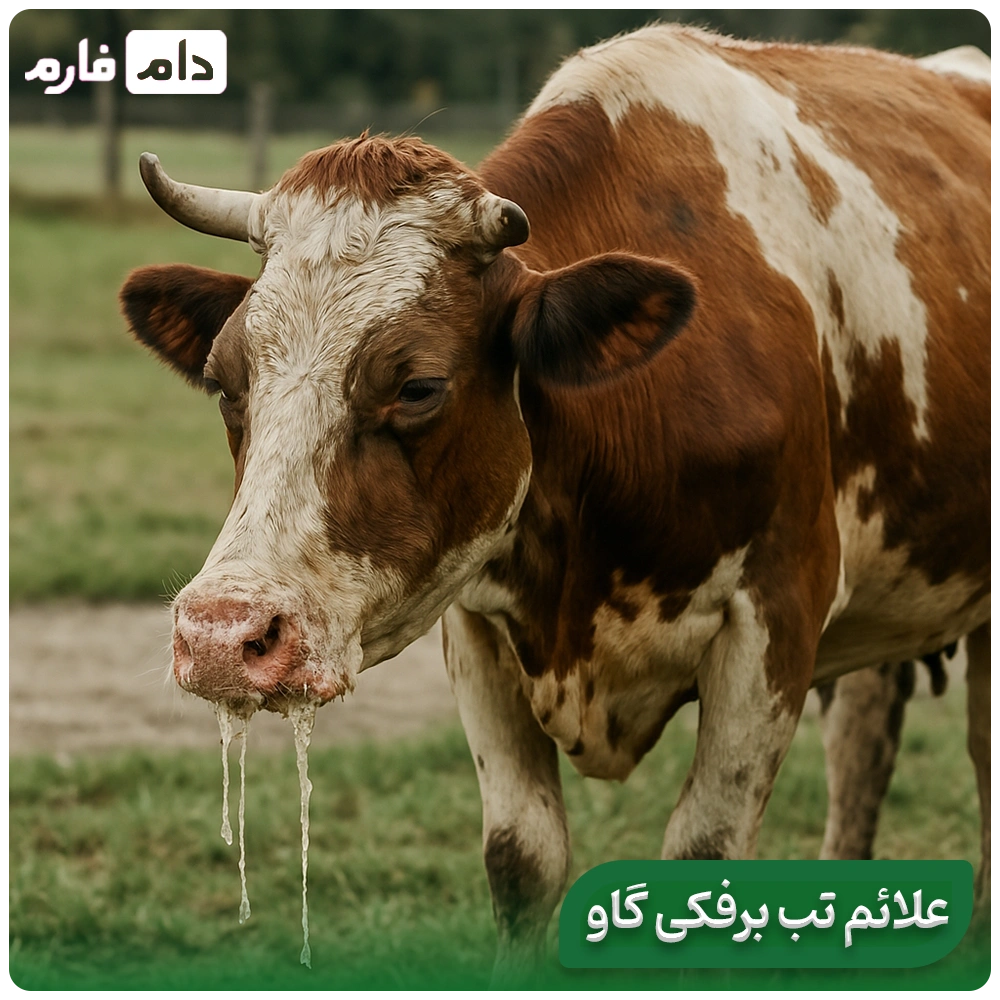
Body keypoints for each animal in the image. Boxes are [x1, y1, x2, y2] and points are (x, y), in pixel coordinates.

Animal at [120, 25, 991, 982]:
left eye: (419, 386)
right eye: (223, 380)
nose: (222, 637)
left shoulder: (775, 616)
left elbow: (706, 852)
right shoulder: (475, 628)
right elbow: (522, 855)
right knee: (865, 742)